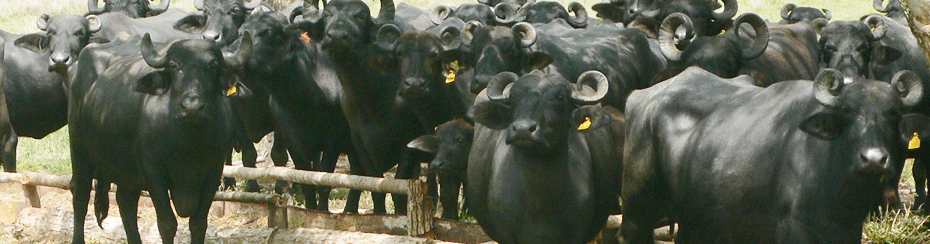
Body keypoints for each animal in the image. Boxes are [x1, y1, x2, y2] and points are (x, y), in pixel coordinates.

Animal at [68, 33, 250, 244]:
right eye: (174, 65)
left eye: (212, 66)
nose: (192, 107)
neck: (189, 144)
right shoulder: (154, 172)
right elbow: (167, 224)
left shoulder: (213, 172)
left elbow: (198, 223)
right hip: (80, 152)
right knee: (80, 195)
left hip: (127, 172)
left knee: (126, 202)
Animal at [468, 69, 620, 243]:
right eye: (513, 96)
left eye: (560, 97)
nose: (522, 129)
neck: (539, 200)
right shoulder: (506, 234)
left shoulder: (577, 234)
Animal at [620, 66, 916, 242]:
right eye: (846, 111)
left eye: (893, 113)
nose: (874, 159)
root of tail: (640, 98)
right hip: (636, 210)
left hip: (697, 218)